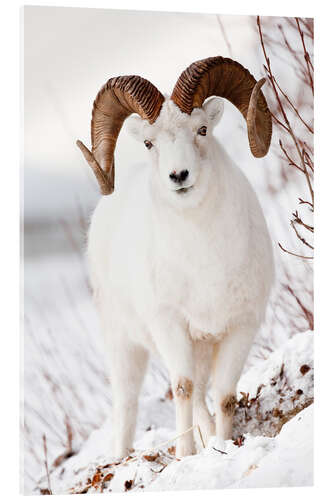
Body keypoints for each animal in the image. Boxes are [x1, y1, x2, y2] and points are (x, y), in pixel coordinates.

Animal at [77, 56, 272, 458]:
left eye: (202, 130)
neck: (206, 261)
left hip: (199, 348)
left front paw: (222, 445)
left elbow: (224, 396)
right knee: (131, 402)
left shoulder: (240, 327)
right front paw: (186, 456)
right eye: (150, 142)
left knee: (201, 396)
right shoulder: (171, 327)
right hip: (126, 345)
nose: (179, 175)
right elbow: (182, 388)